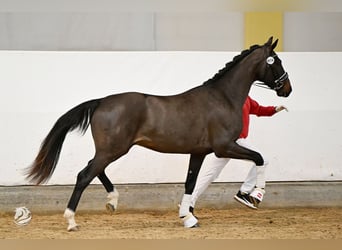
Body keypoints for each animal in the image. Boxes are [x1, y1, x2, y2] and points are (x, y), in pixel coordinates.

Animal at [26, 36, 292, 230]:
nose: (287, 89)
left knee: (94, 169)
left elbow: (190, 182)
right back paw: (72, 220)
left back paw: (112, 201)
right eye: (276, 60)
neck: (223, 98)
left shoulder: (199, 152)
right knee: (84, 175)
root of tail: (101, 101)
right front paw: (255, 196)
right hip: (113, 149)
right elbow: (259, 158)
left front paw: (188, 217)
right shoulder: (224, 147)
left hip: (110, 149)